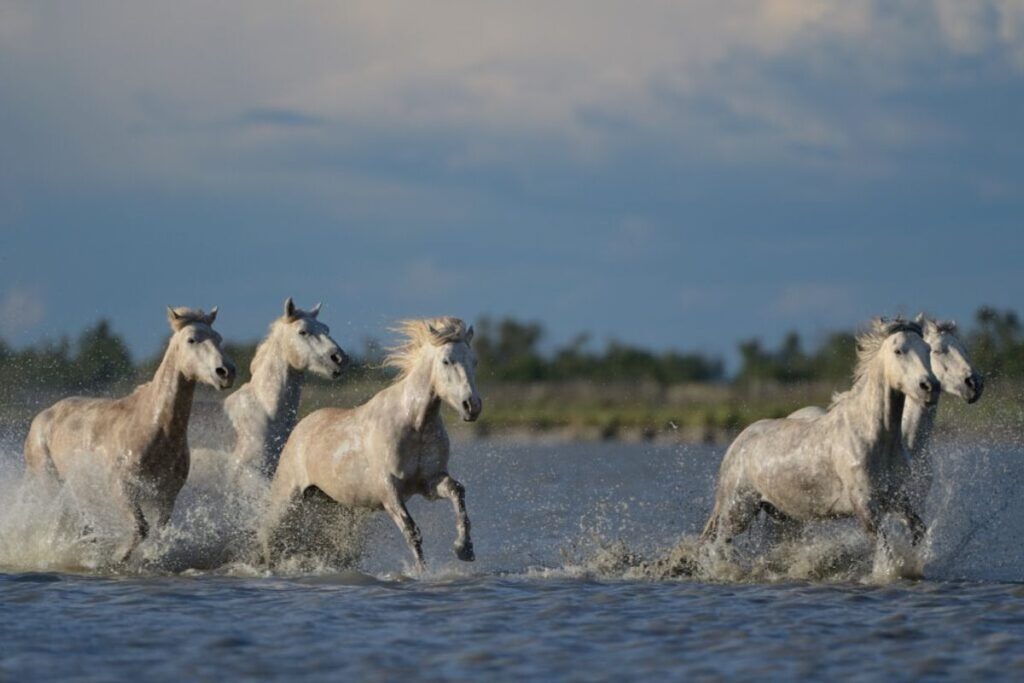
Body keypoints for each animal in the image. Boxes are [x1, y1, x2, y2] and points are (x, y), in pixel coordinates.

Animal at [24, 307, 235, 565]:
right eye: (191, 339)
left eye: (219, 338)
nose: (226, 372)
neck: (154, 430)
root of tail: (44, 415)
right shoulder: (122, 487)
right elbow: (140, 528)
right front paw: (118, 557)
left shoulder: (166, 495)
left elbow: (158, 532)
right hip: (50, 482)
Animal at [256, 317, 479, 569]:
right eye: (446, 360)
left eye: (474, 361)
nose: (472, 406)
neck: (415, 423)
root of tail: (298, 430)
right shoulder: (388, 490)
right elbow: (412, 531)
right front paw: (422, 572)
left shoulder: (429, 482)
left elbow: (457, 490)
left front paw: (464, 549)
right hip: (287, 498)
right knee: (268, 533)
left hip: (328, 502)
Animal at [700, 317, 937, 557]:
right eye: (898, 351)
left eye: (928, 349)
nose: (930, 387)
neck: (873, 436)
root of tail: (736, 444)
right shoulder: (865, 504)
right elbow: (885, 551)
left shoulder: (895, 498)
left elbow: (919, 530)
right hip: (738, 512)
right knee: (716, 545)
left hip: (782, 515)